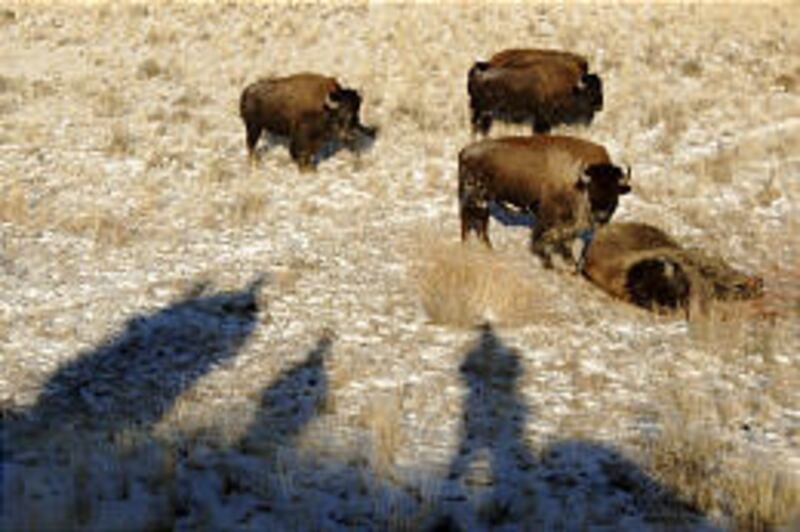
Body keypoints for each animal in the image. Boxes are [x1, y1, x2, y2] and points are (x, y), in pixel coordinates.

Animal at [239, 72, 376, 171]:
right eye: (340, 113)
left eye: (356, 113)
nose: (349, 135)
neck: (325, 107)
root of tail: (247, 92)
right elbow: (298, 152)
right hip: (253, 127)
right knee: (250, 144)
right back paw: (254, 162)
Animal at [458, 135, 631, 268]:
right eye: (592, 189)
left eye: (615, 191)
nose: (601, 215)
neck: (577, 180)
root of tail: (466, 150)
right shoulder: (548, 213)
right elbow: (543, 237)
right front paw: (549, 263)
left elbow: (565, 240)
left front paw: (570, 263)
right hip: (472, 199)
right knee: (469, 222)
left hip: (481, 203)